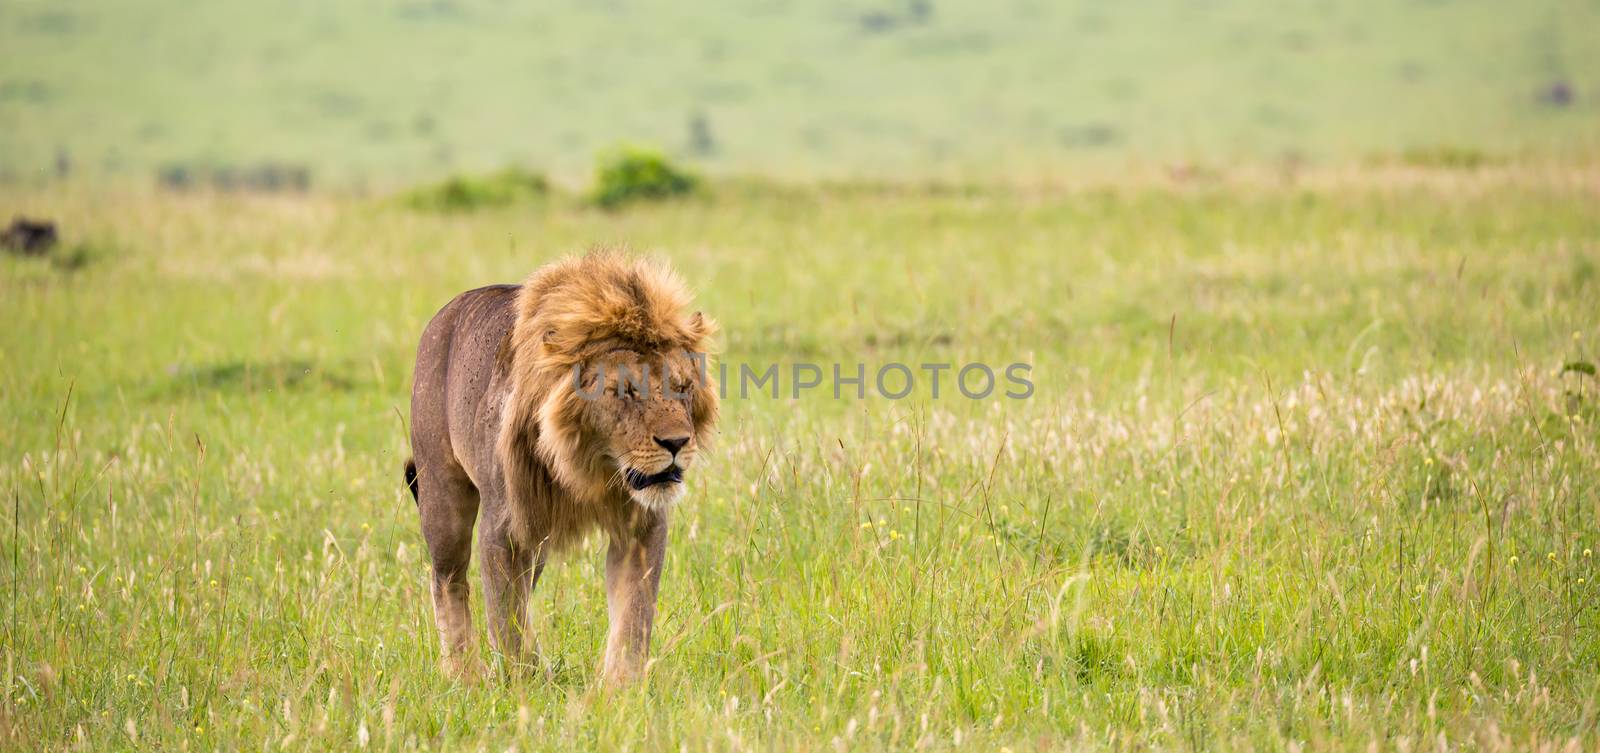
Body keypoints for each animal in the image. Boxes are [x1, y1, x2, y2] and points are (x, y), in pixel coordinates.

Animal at [406, 252, 720, 684]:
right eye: (625, 391)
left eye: (683, 387)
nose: (676, 443)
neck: (594, 466)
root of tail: (445, 313)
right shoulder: (503, 526)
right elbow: (506, 618)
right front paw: (521, 685)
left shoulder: (641, 525)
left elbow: (634, 612)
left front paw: (621, 687)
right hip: (444, 498)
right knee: (448, 580)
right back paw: (461, 673)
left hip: (535, 543)